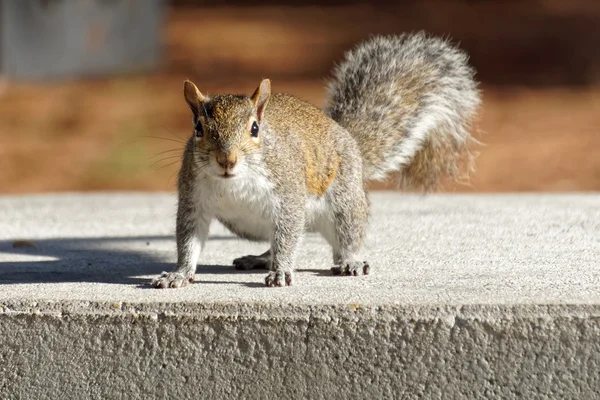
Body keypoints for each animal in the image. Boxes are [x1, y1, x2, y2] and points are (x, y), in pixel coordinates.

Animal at [152, 31, 480, 288]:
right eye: (198, 128)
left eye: (255, 128)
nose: (226, 160)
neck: (234, 182)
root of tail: (348, 138)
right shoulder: (194, 200)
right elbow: (188, 240)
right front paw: (179, 274)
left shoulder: (288, 195)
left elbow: (287, 236)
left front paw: (281, 271)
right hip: (251, 225)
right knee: (277, 240)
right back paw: (260, 259)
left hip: (345, 203)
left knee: (343, 238)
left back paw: (349, 262)